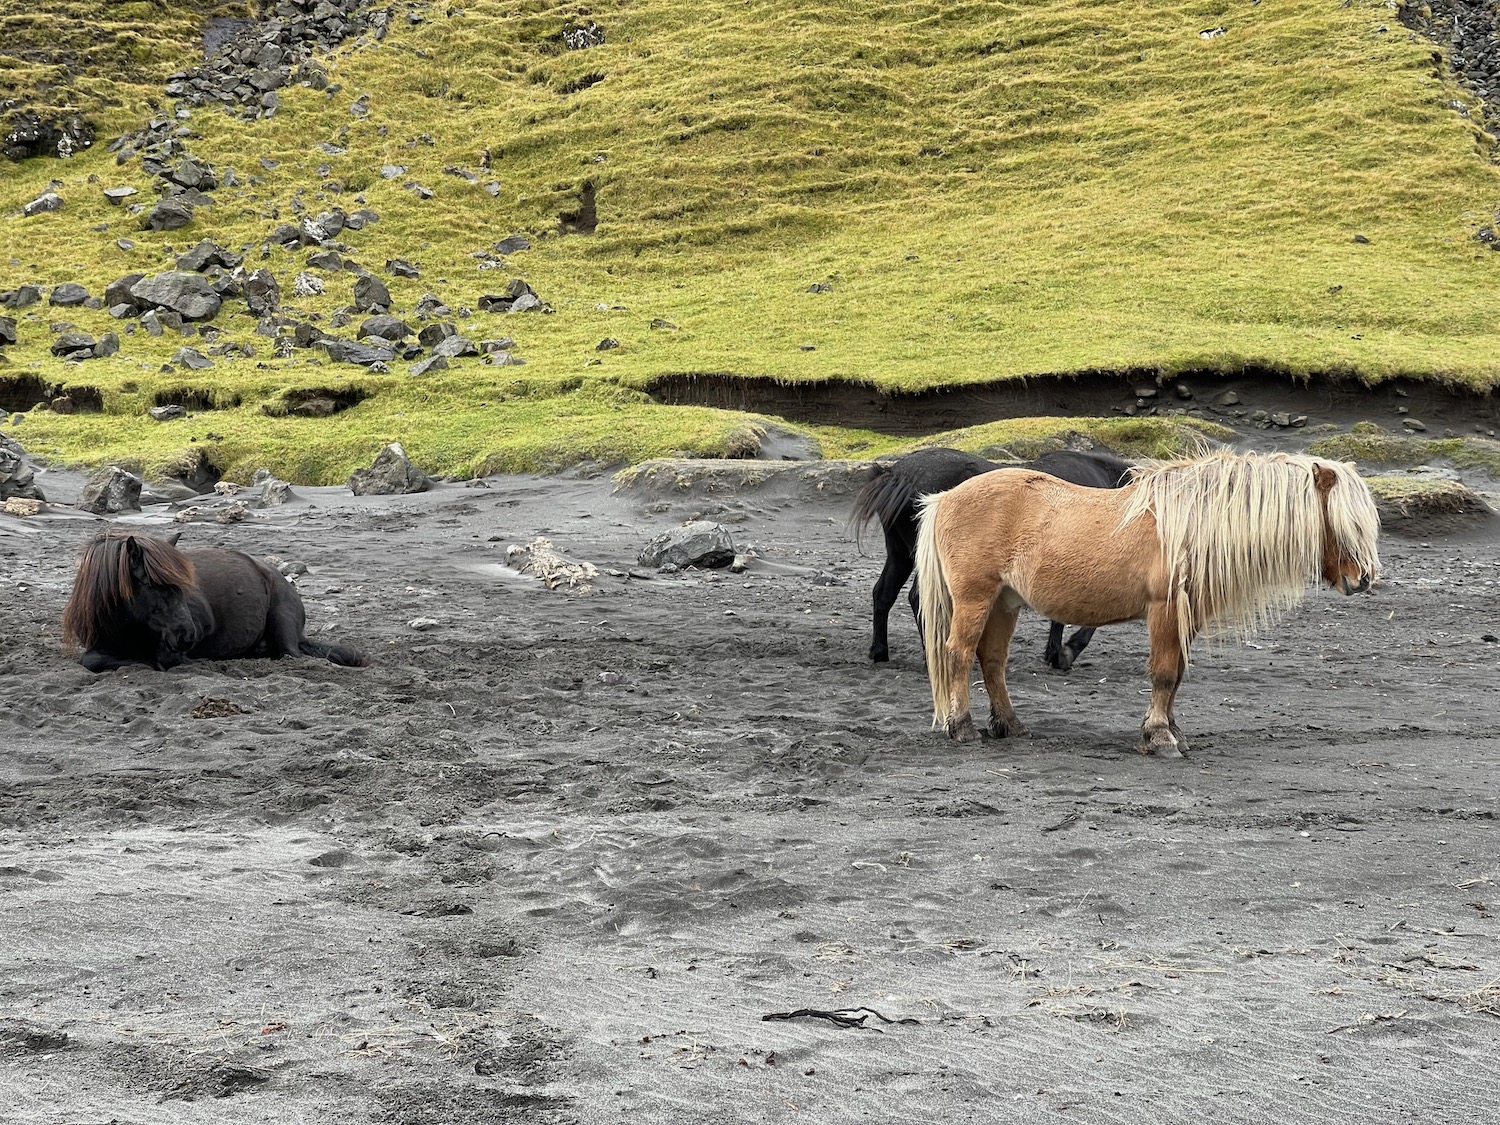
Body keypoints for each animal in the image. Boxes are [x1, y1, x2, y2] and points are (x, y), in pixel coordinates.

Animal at [63, 531, 369, 675]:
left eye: (183, 586)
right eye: (149, 584)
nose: (187, 635)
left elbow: (161, 659)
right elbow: (92, 660)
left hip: (284, 627)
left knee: (295, 655)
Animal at [906, 453, 1374, 759]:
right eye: (1343, 521)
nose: (1363, 579)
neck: (1192, 524)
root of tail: (943, 498)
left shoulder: (1187, 616)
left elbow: (1178, 674)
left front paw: (1172, 731)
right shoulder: (1164, 609)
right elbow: (1164, 674)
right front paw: (1160, 737)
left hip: (1005, 603)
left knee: (992, 660)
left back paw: (1010, 725)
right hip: (975, 599)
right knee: (958, 654)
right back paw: (963, 728)